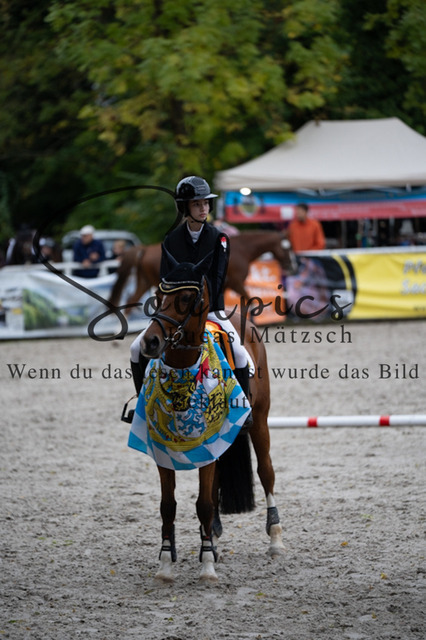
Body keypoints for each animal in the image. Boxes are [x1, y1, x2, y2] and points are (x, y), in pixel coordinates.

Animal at [109, 230, 297, 314]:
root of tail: (145, 249)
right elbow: (250, 300)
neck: (242, 250)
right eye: (286, 248)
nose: (292, 266)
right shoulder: (237, 283)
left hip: (145, 281)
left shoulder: (224, 287)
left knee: (131, 300)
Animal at [128, 250, 285, 582]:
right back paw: (212, 538)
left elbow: (203, 503)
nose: (150, 342)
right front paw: (166, 562)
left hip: (260, 420)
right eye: (158, 295)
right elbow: (169, 505)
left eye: (187, 297)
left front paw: (207, 568)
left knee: (266, 472)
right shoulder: (163, 451)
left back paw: (275, 539)